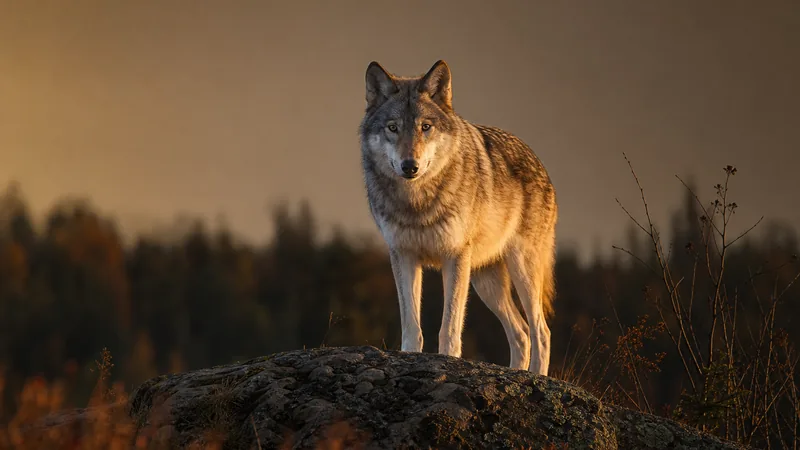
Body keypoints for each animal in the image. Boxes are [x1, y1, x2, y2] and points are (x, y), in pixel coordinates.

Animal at [358, 60, 558, 375]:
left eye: (425, 127)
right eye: (393, 128)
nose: (409, 166)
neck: (417, 202)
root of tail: (538, 160)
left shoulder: (454, 257)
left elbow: (449, 324)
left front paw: (448, 359)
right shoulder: (403, 255)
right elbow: (411, 323)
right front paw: (409, 355)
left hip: (521, 269)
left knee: (541, 331)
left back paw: (535, 375)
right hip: (486, 282)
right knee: (522, 333)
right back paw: (517, 372)